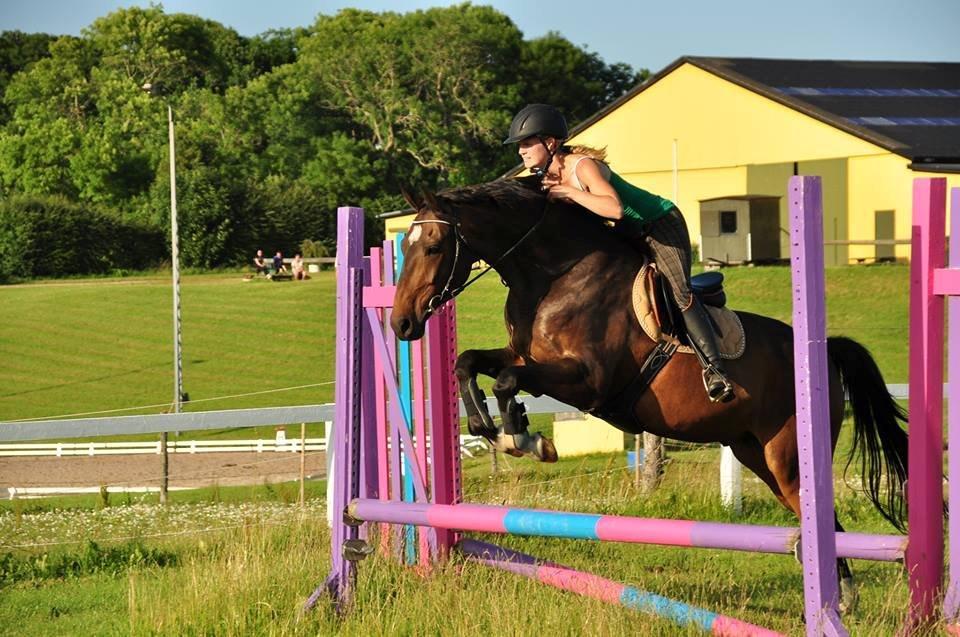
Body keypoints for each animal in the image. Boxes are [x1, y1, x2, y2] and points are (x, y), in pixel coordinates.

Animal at [388, 175, 908, 608]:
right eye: (405, 247)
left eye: (433, 245)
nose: (401, 323)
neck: (556, 274)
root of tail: (824, 351)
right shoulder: (521, 355)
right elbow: (468, 363)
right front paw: (495, 429)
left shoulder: (588, 381)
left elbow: (507, 381)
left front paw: (523, 437)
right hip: (754, 453)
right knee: (809, 511)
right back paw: (836, 594)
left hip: (787, 454)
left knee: (818, 510)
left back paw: (839, 599)